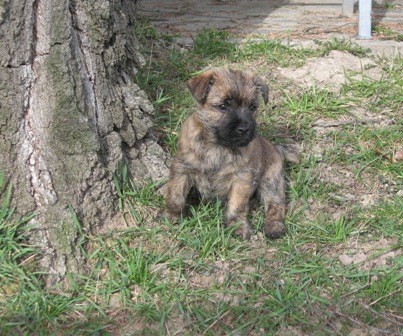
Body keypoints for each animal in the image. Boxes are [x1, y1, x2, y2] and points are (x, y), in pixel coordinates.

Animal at [164, 67, 296, 239]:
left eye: (252, 107)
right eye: (222, 106)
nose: (245, 129)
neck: (217, 146)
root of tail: (276, 149)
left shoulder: (242, 178)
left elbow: (237, 204)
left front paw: (238, 226)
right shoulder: (182, 168)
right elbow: (175, 195)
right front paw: (173, 216)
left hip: (271, 181)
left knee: (276, 204)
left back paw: (274, 226)